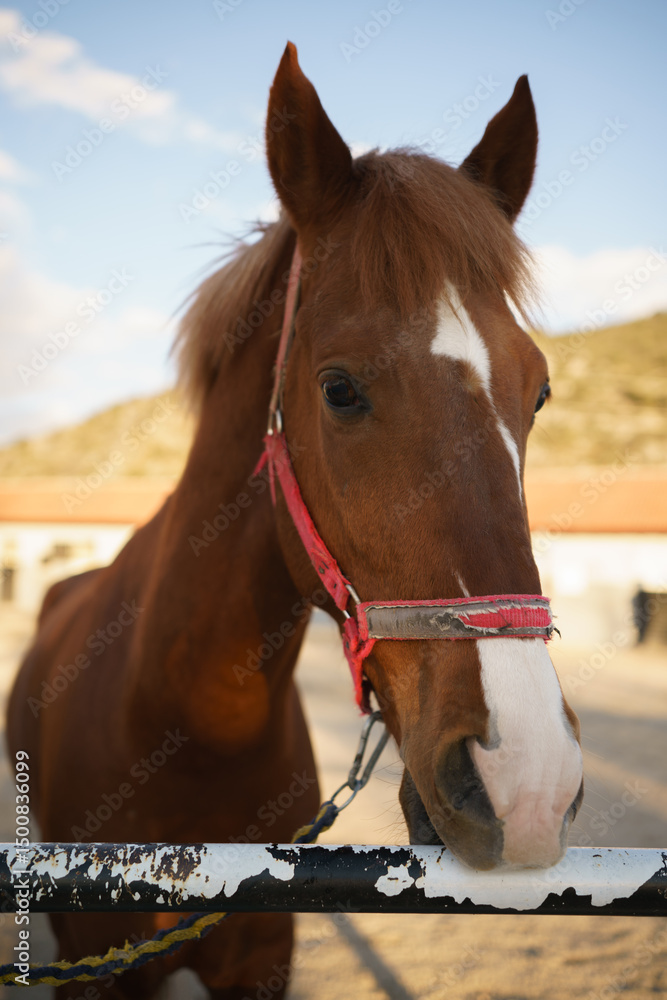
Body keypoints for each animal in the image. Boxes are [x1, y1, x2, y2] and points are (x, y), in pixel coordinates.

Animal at [7, 42, 583, 999]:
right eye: (339, 389)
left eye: (536, 391)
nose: (526, 780)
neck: (190, 727)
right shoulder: (96, 962)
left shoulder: (261, 954)